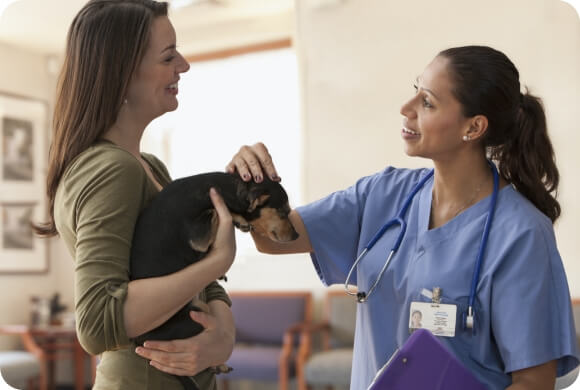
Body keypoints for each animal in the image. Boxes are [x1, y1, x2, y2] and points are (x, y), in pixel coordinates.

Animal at [129, 172, 296, 390]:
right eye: (283, 212)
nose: (297, 235)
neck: (225, 187)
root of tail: (139, 341)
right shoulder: (199, 236)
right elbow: (218, 210)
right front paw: (238, 219)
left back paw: (219, 365)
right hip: (195, 314)